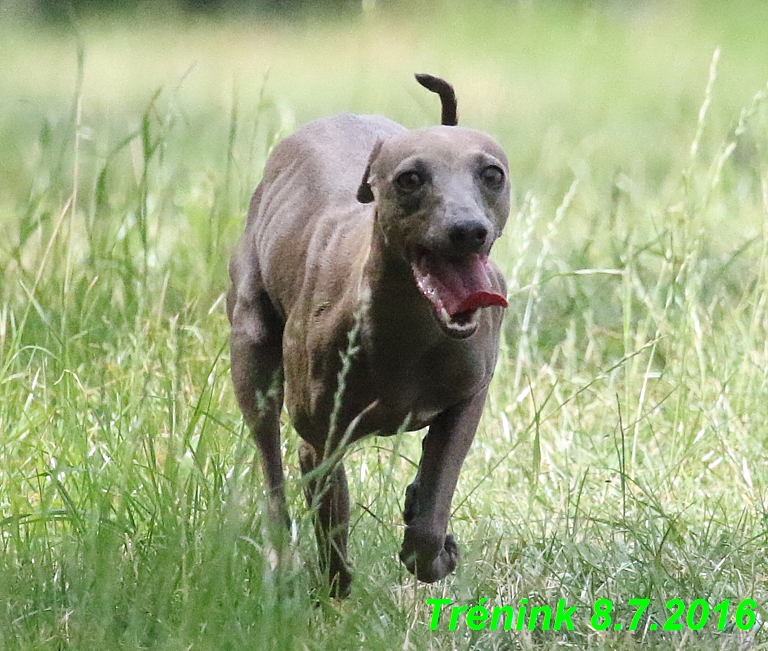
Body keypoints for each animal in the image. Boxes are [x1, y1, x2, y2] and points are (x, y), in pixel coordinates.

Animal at [225, 74, 508, 600]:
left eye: (492, 174)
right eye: (410, 179)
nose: (468, 230)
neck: (412, 331)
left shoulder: (468, 400)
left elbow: (431, 516)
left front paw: (433, 546)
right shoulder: (320, 442)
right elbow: (332, 535)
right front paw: (332, 593)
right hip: (250, 353)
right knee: (272, 475)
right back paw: (281, 561)